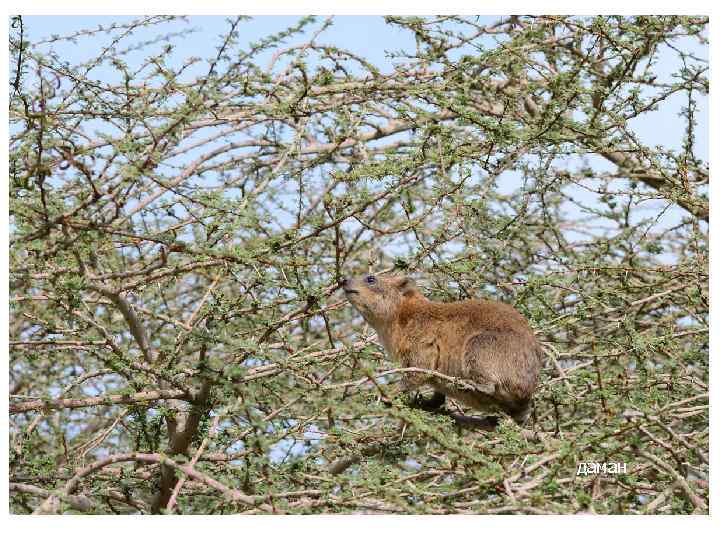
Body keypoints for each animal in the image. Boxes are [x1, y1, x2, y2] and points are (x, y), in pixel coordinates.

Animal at [340, 273, 544, 429]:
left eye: (371, 278)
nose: (344, 279)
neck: (400, 319)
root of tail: (529, 390)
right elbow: (436, 393)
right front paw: (426, 402)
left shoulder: (422, 342)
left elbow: (418, 372)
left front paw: (388, 393)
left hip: (482, 345)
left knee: (490, 381)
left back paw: (470, 384)